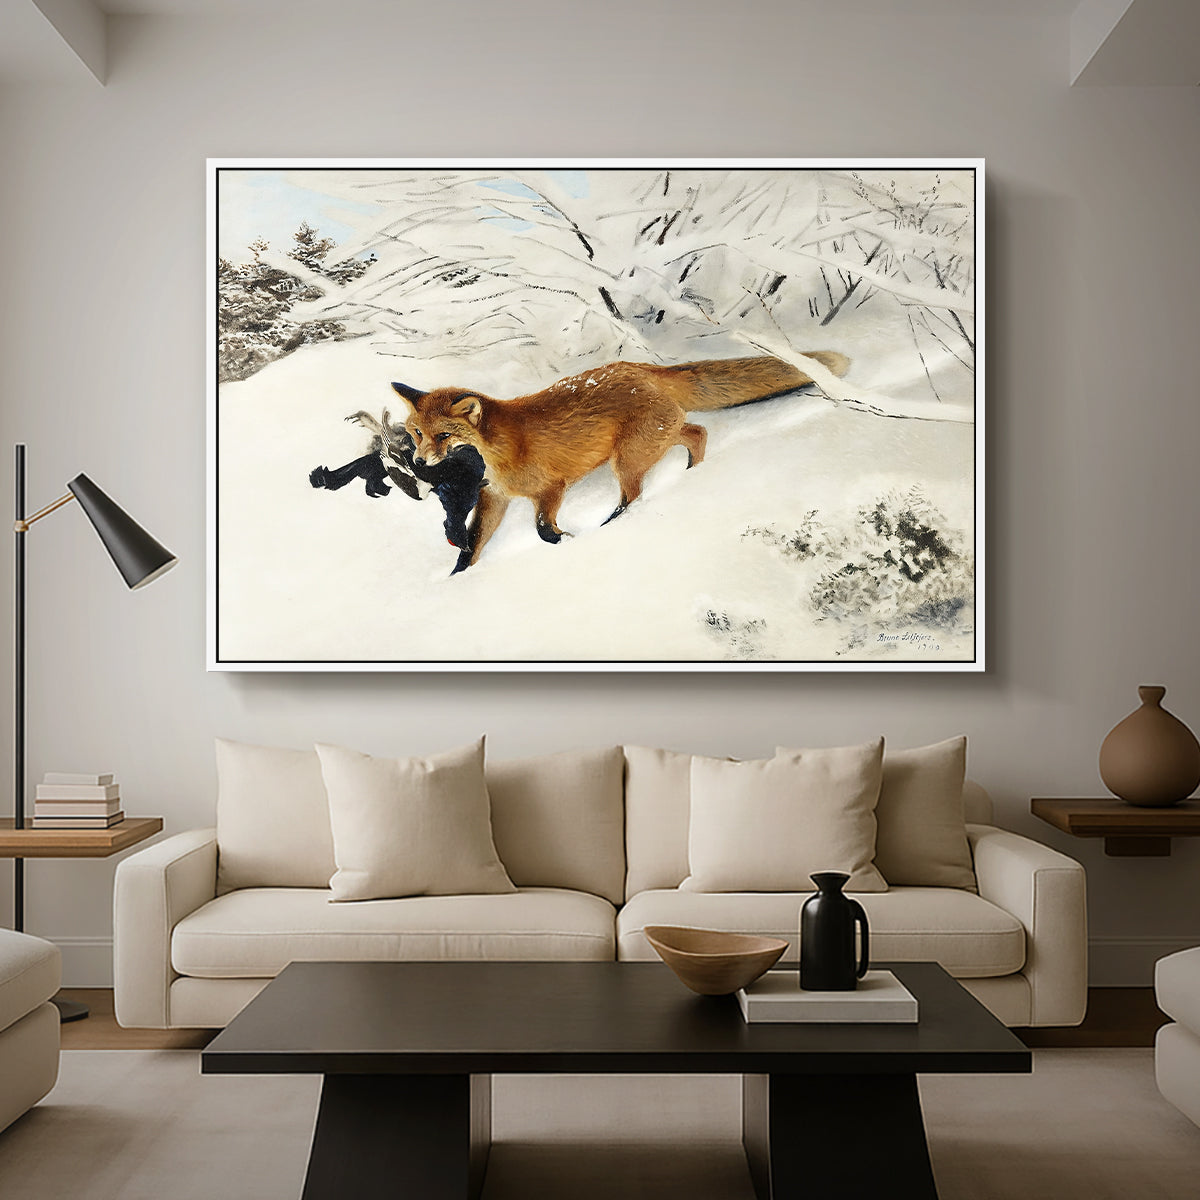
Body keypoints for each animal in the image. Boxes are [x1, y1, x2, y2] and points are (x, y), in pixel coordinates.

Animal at [391, 351, 850, 572]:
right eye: (416, 433)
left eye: (444, 436)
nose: (420, 462)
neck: (499, 450)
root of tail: (641, 368)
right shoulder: (495, 498)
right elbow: (472, 545)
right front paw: (456, 578)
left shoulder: (551, 488)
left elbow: (543, 530)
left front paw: (568, 541)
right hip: (653, 441)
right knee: (698, 433)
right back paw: (693, 474)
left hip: (627, 459)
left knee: (635, 495)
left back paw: (615, 524)